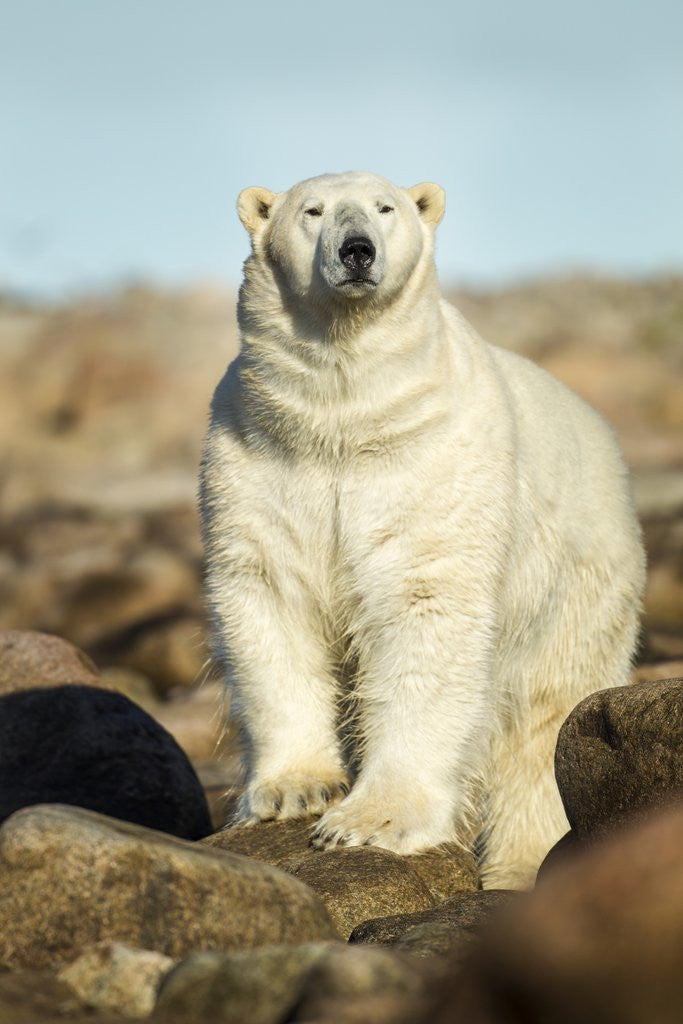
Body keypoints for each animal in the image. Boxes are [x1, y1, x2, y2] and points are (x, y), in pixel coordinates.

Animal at [199, 171, 645, 888]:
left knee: (542, 722)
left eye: (386, 207)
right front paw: (297, 790)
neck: (346, 415)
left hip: (578, 585)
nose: (357, 250)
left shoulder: (434, 466)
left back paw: (518, 867)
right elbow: (272, 597)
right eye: (312, 211)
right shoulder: (256, 461)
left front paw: (370, 822)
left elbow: (424, 607)